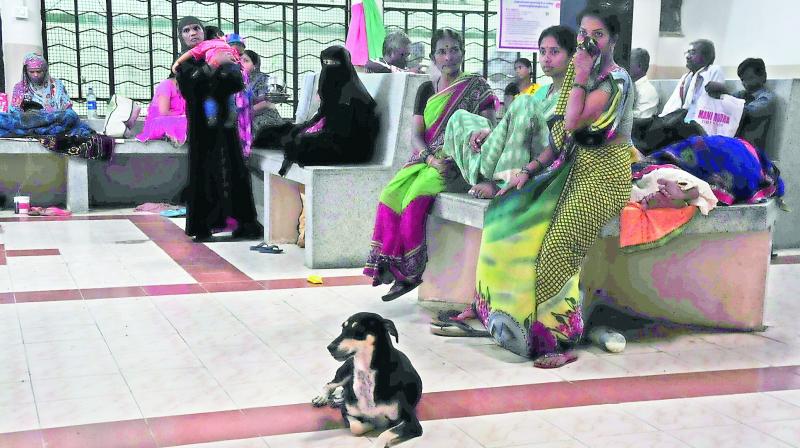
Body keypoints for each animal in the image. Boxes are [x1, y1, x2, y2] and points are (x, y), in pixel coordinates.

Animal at [312, 314, 424, 446]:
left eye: (359, 329)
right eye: (343, 327)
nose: (330, 347)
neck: (367, 373)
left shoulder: (412, 423)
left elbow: (384, 434)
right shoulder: (346, 411)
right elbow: (355, 427)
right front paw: (369, 423)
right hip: (345, 372)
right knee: (330, 384)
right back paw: (323, 398)